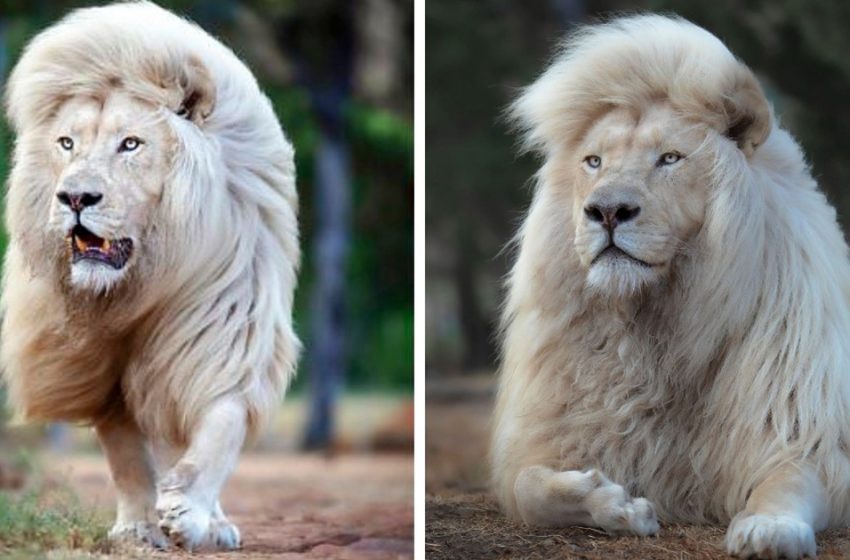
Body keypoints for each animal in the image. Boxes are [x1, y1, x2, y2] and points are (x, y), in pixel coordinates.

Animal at [1, 0, 300, 552]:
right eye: (67, 143)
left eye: (131, 144)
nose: (74, 197)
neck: (140, 283)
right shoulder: (96, 362)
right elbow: (126, 454)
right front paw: (139, 527)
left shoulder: (226, 331)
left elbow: (220, 426)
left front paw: (189, 513)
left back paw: (214, 524)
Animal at [490, 14, 850, 560]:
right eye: (593, 162)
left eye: (670, 158)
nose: (607, 210)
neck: (655, 329)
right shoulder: (558, 436)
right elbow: (527, 488)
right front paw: (615, 507)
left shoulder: (806, 436)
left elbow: (787, 481)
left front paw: (769, 530)